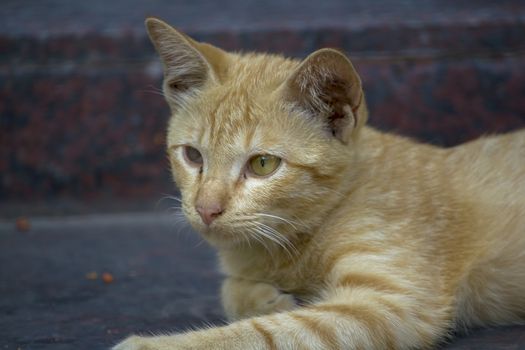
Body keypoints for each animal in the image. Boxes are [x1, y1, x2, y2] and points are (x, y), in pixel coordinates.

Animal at [113, 17, 524, 350]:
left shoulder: (393, 302)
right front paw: (265, 297)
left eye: (263, 164)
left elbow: (267, 332)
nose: (205, 209)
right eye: (193, 156)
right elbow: (230, 287)